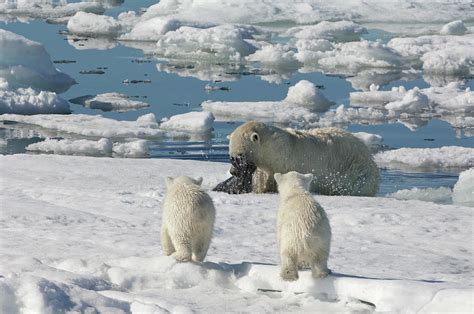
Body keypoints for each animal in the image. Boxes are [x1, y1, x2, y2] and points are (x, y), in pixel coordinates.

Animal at [217, 121, 380, 196]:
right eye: (231, 156)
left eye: (239, 155)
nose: (233, 172)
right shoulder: (267, 167)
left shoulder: (287, 163)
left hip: (356, 170)